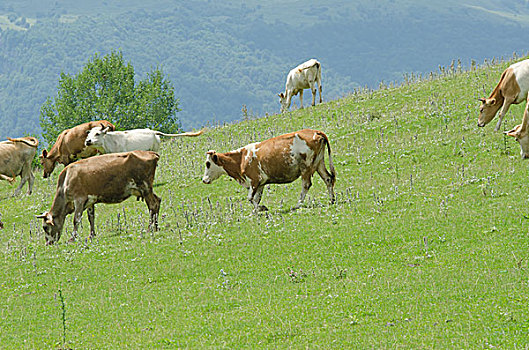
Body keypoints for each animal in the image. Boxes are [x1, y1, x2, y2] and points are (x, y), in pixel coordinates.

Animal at [202, 129, 334, 211]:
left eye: (208, 164)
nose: (204, 180)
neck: (241, 159)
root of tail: (315, 132)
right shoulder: (261, 183)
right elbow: (256, 199)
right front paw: (256, 211)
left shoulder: (254, 180)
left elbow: (250, 198)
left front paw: (261, 209)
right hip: (319, 162)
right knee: (328, 178)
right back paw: (332, 200)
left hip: (306, 167)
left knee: (306, 185)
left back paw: (298, 205)